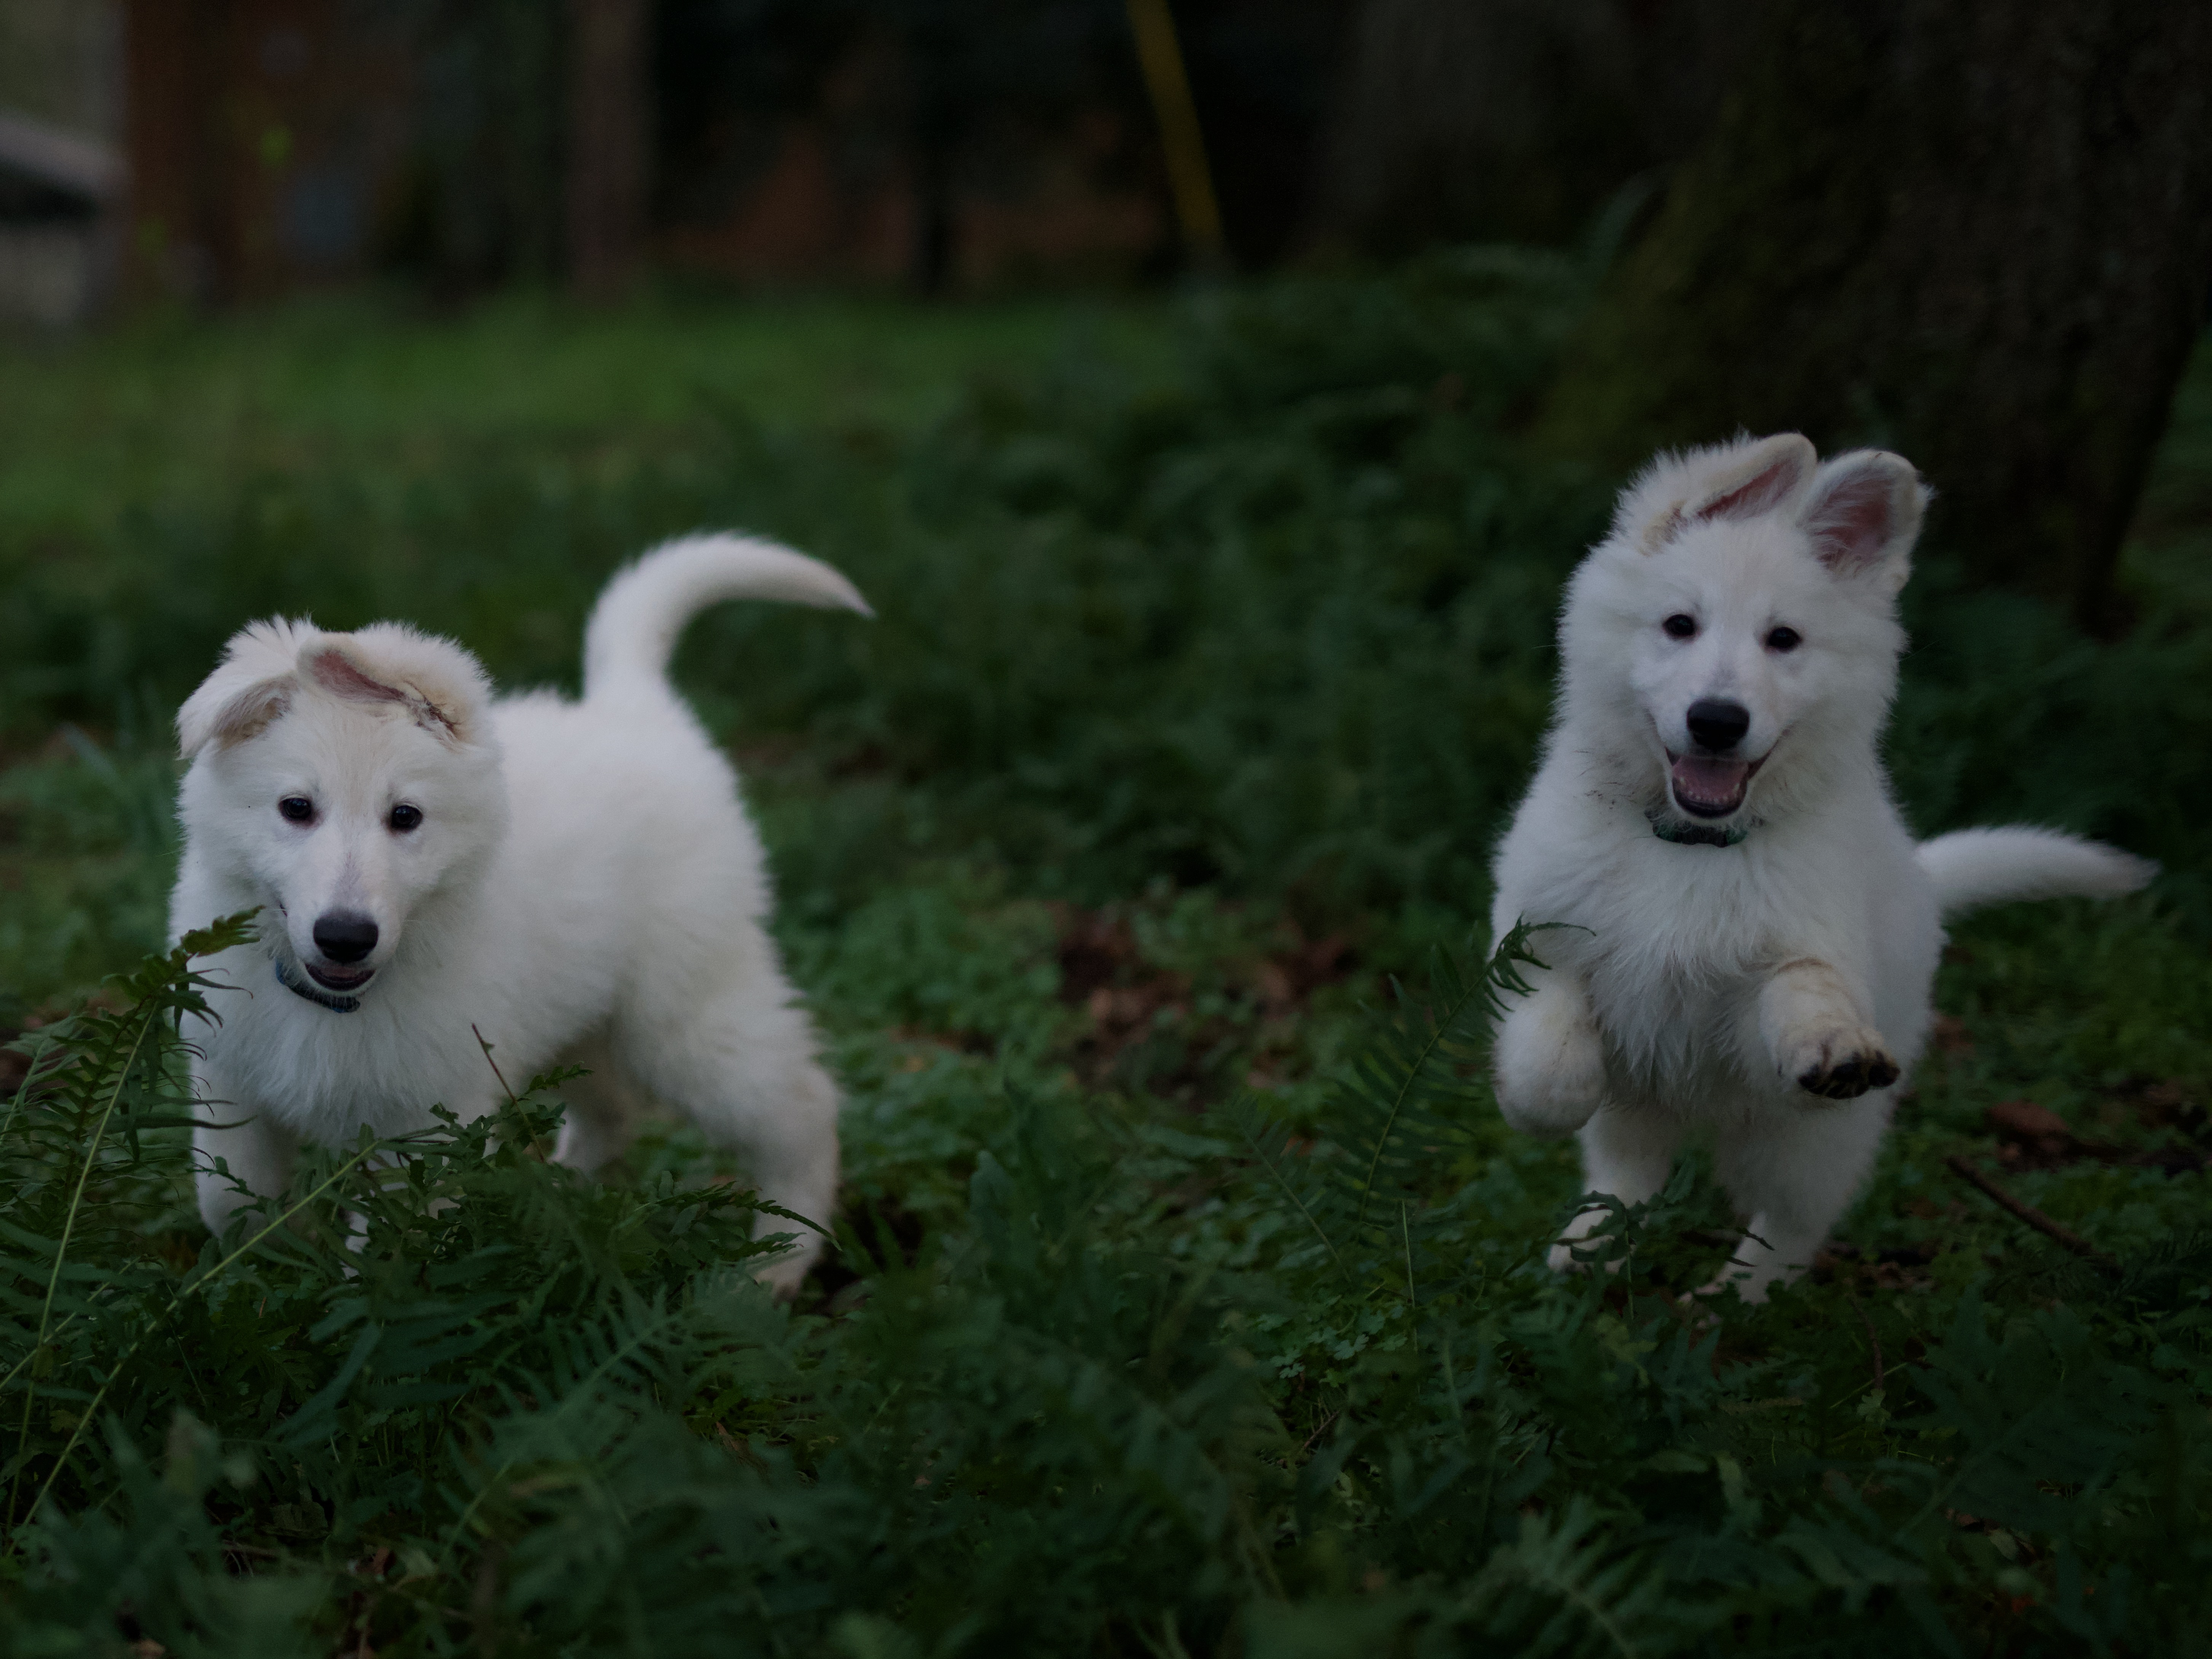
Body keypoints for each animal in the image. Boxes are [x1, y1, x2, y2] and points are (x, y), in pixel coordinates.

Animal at [168, 533, 871, 1300]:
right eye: (296, 808)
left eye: (406, 817)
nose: (345, 936)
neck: (336, 1000)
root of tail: (634, 707)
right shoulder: (232, 1080)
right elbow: (228, 1199)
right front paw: (265, 1274)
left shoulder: (425, 1123)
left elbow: (389, 1247)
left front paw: (360, 1303)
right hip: (581, 1010)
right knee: (615, 1110)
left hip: (684, 1012)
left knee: (802, 1106)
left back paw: (779, 1259)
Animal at [1495, 435, 2150, 1309]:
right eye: (1678, 625)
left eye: (1783, 639)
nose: (1716, 720)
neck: (1694, 845)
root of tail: (1924, 882)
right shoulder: (1532, 930)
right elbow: (1547, 1037)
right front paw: (1544, 1098)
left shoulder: (1782, 982)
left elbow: (1797, 992)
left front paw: (1832, 1043)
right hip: (1645, 1107)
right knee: (1626, 1168)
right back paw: (1590, 1246)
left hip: (1806, 1143)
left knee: (1790, 1226)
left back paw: (1727, 1303)